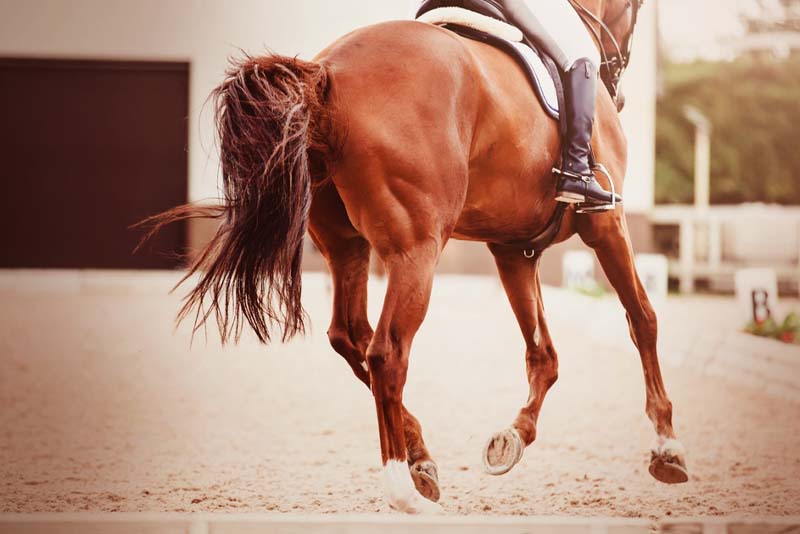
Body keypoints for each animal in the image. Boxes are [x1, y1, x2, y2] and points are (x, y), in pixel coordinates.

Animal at [142, 0, 688, 514]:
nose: (621, 88)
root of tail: (327, 73)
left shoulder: (513, 248)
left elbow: (544, 355)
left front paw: (513, 437)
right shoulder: (606, 223)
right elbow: (643, 319)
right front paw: (667, 448)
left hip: (347, 245)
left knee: (351, 338)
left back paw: (422, 460)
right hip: (416, 248)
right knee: (386, 352)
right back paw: (402, 488)